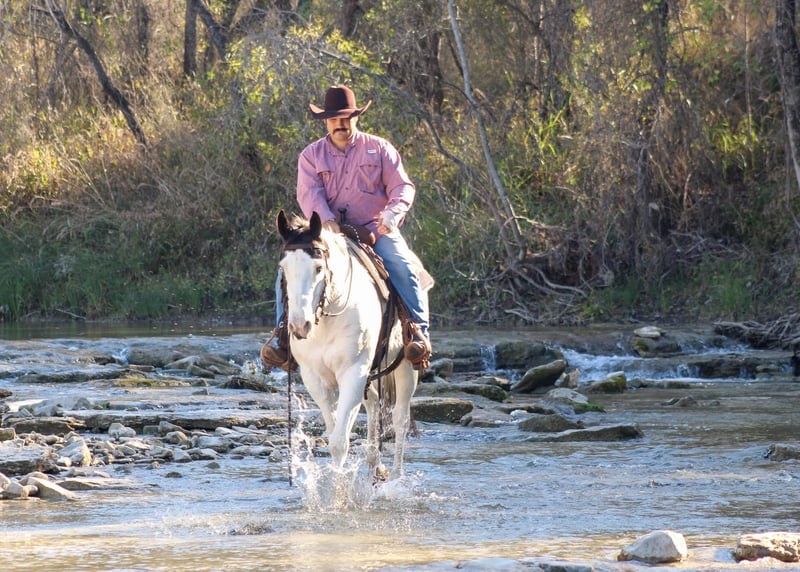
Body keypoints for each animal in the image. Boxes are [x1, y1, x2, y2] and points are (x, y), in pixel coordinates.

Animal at [276, 210, 419, 480]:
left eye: (319, 267)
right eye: (283, 268)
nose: (300, 326)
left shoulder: (353, 372)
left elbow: (339, 442)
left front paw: (340, 489)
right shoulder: (315, 378)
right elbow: (334, 433)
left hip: (406, 366)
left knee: (400, 419)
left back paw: (396, 478)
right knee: (374, 404)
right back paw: (375, 465)